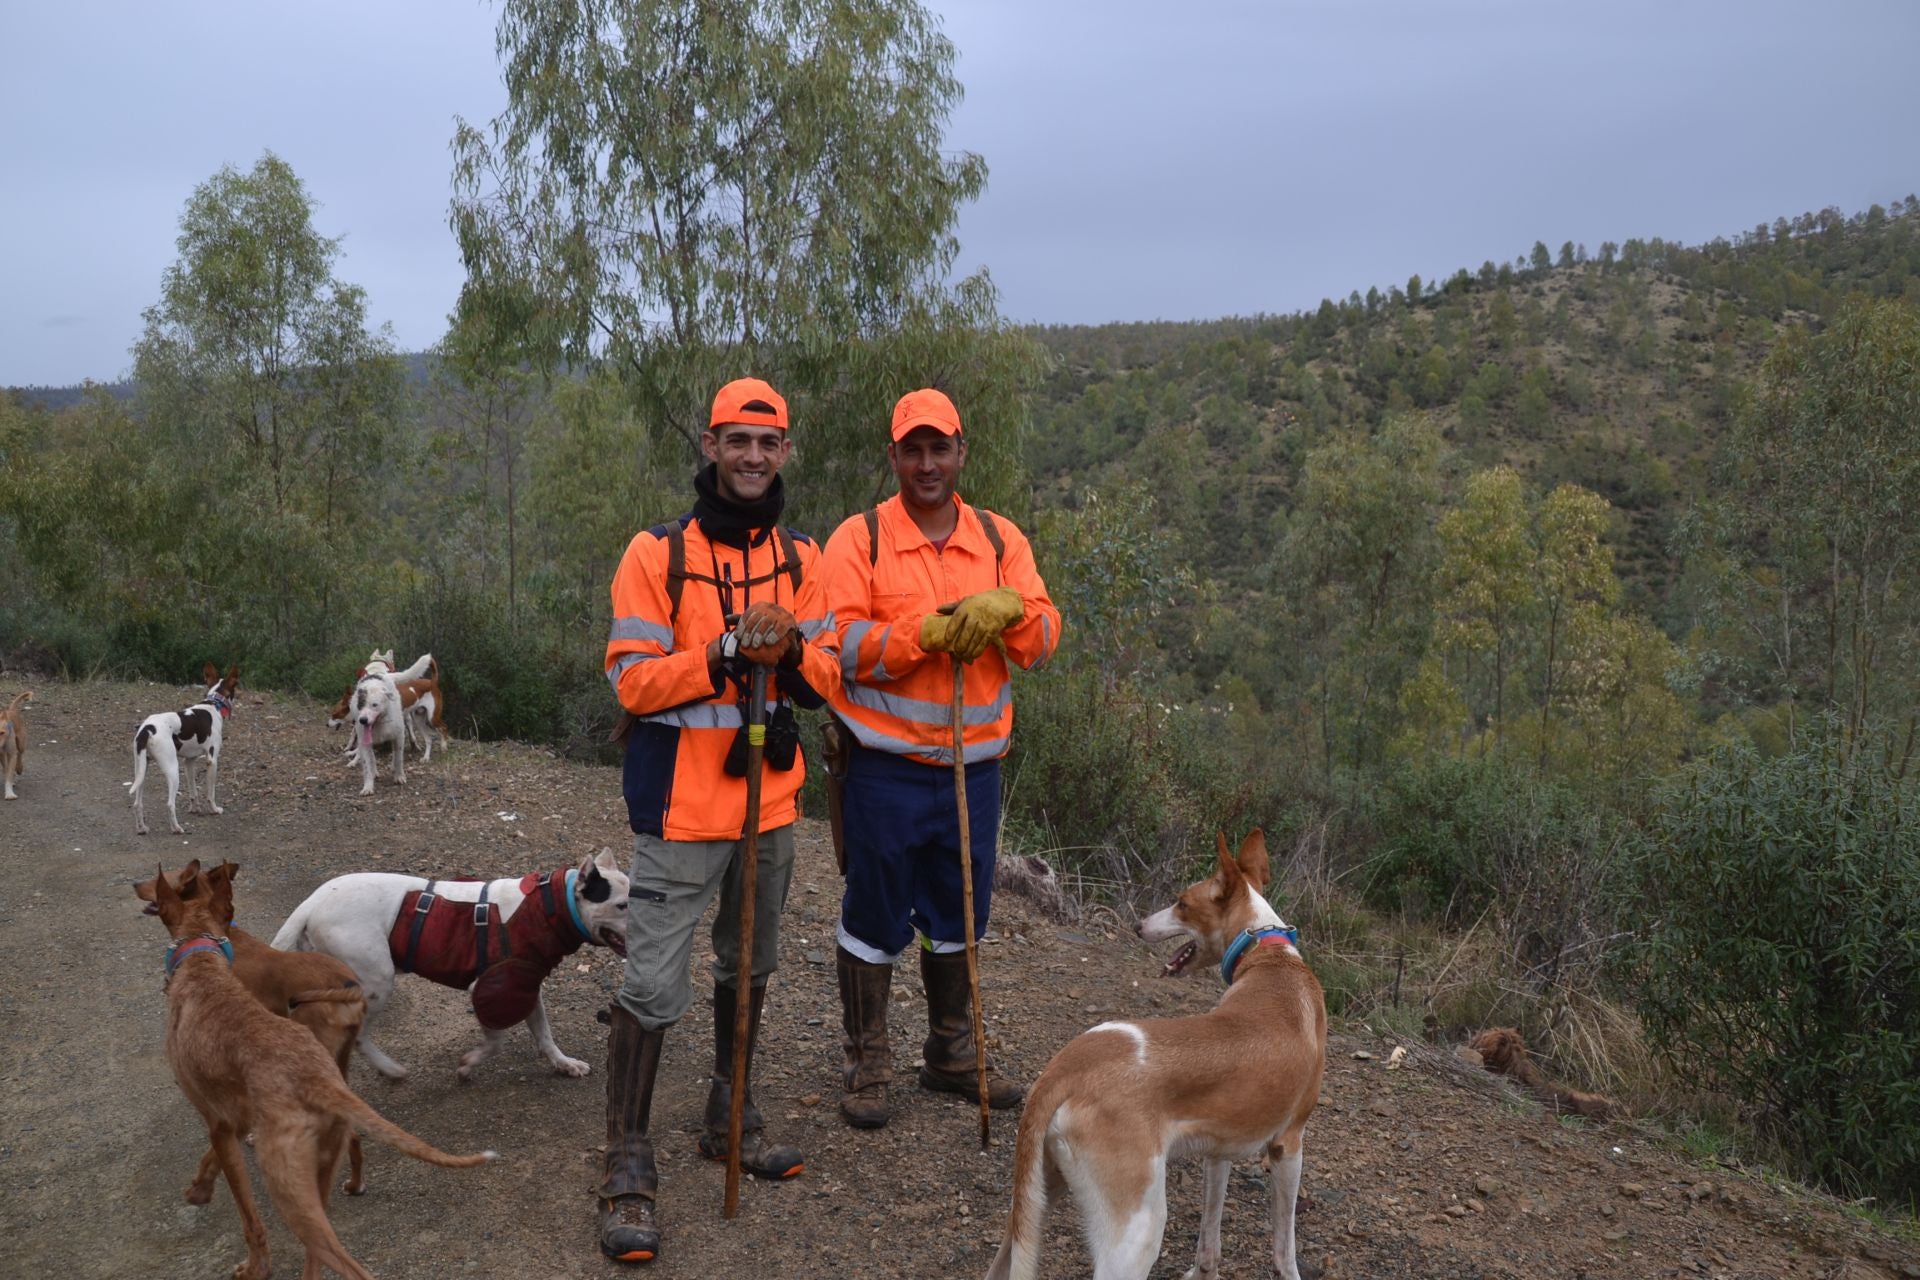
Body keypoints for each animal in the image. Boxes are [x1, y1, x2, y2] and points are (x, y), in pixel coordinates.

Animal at [272, 852, 629, 1082]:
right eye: (622, 905)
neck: (549, 906)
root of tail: (311, 904)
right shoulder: (490, 989)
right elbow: (496, 1041)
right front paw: (468, 1065)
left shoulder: (525, 985)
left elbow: (543, 1033)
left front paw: (564, 1064)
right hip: (377, 982)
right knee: (358, 1033)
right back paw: (389, 1069)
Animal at [349, 656, 435, 794]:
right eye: (360, 705)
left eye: (374, 705)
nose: (363, 720)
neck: (380, 723)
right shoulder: (364, 742)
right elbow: (367, 765)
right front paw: (368, 786)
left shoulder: (399, 737)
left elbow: (399, 758)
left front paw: (399, 776)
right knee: (372, 759)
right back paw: (374, 772)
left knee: (395, 756)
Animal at [990, 832, 1320, 1280]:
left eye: (1181, 902)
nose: (1137, 925)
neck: (1268, 955)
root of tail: (1065, 1069)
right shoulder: (1288, 1146)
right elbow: (1285, 1249)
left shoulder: (1218, 1152)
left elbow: (1209, 1241)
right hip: (1137, 1231)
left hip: (1034, 1202)